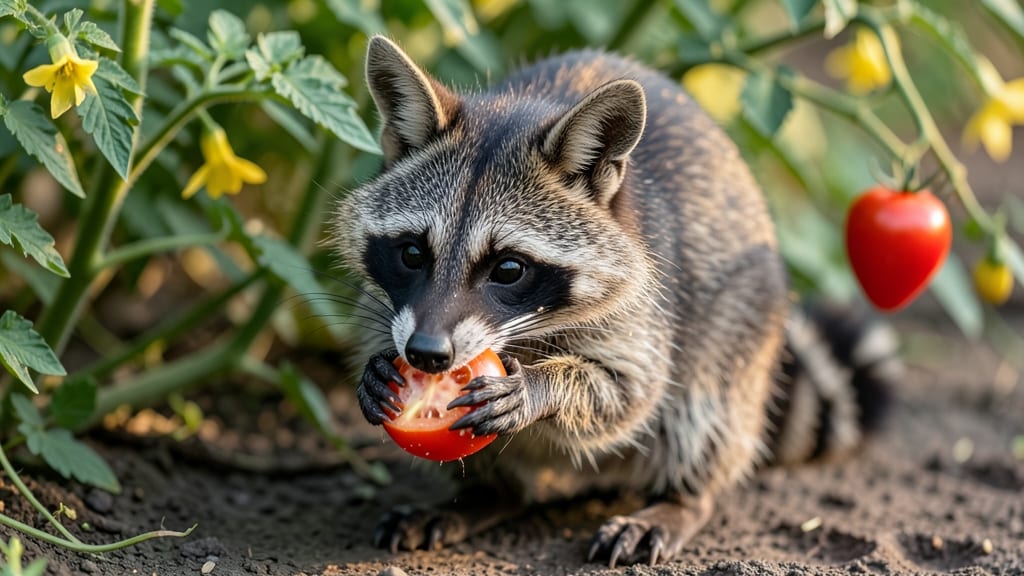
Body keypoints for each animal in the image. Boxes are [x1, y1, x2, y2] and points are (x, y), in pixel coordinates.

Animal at [332, 36, 899, 566]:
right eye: (412, 253)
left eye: (508, 269)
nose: (427, 354)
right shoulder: (388, 306)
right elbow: (379, 329)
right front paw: (377, 369)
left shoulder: (646, 304)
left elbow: (630, 392)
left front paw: (544, 386)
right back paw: (488, 495)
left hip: (743, 327)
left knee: (705, 412)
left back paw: (684, 499)